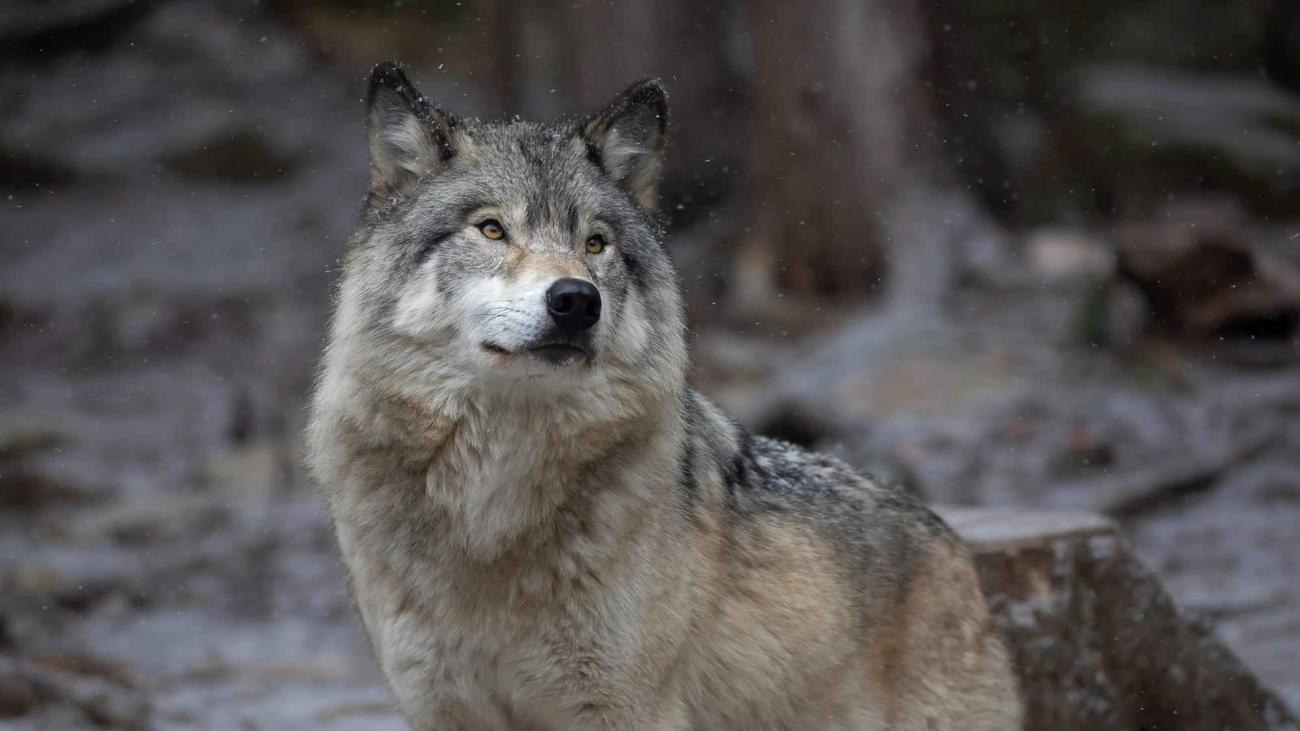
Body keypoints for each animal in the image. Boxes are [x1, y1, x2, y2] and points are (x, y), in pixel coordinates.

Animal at [307, 61, 1023, 730]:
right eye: (491, 230)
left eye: (596, 243)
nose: (576, 300)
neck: (493, 504)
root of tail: (954, 548)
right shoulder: (440, 708)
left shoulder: (624, 708)